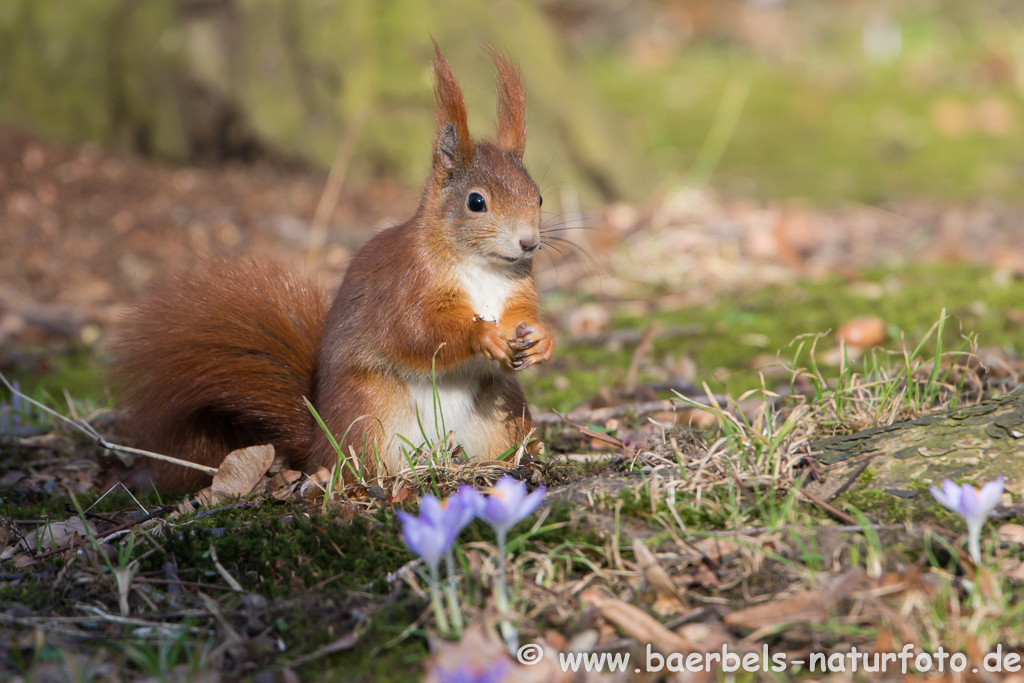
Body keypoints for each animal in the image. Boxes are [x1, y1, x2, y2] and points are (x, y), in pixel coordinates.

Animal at [110, 44, 552, 491]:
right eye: (476, 202)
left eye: (539, 197)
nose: (528, 242)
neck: (482, 267)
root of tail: (318, 442)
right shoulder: (407, 286)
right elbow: (420, 331)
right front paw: (483, 335)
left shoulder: (517, 288)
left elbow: (521, 314)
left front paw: (541, 339)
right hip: (368, 411)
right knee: (360, 460)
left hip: (499, 405)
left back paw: (523, 456)